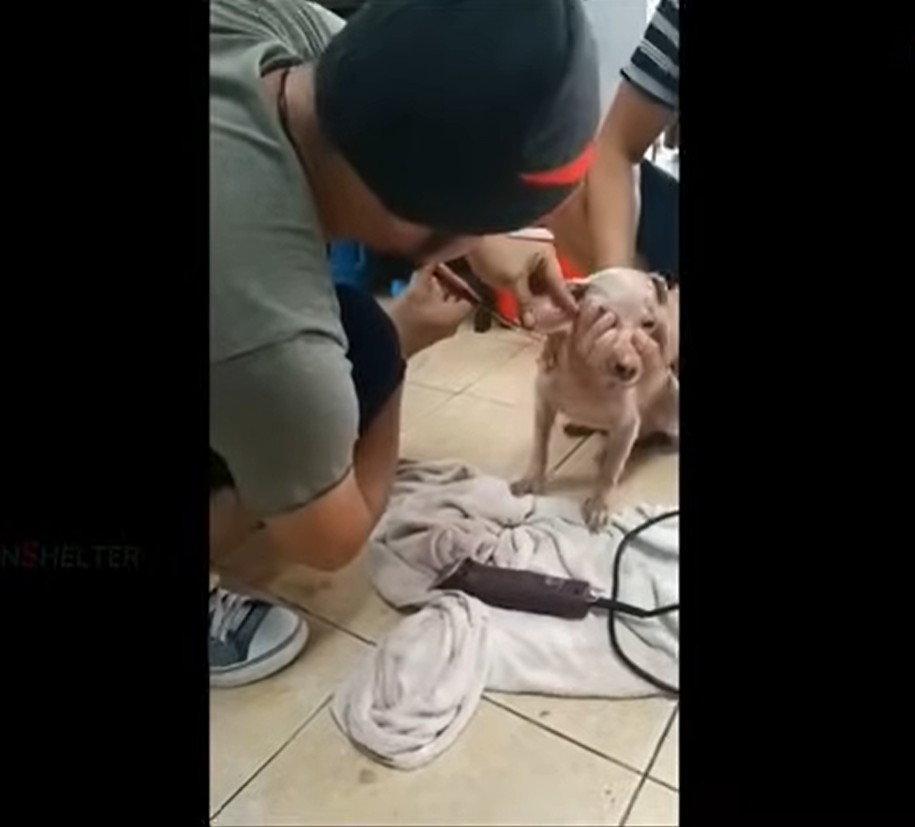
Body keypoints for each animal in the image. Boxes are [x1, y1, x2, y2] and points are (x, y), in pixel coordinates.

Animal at [510, 267, 679, 531]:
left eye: (648, 324)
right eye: (604, 316)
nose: (628, 369)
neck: (588, 376)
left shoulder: (627, 424)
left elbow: (609, 473)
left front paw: (599, 505)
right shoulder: (543, 405)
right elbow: (540, 448)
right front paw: (531, 479)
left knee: (644, 442)